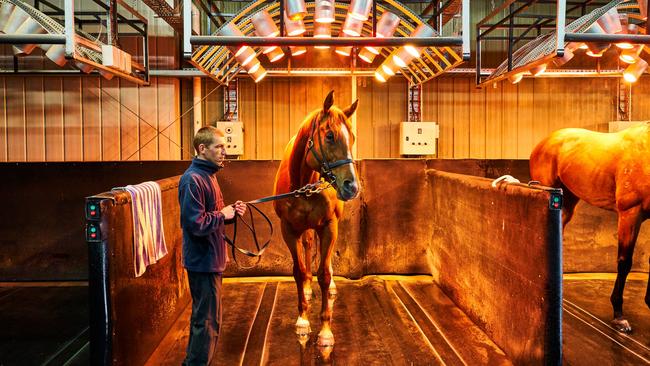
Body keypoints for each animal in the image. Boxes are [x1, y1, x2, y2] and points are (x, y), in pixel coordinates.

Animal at [270, 91, 356, 346]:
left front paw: (326, 330)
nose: (352, 186)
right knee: (308, 246)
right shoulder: (288, 230)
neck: (303, 183)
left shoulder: (328, 227)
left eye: (353, 138)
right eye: (330, 136)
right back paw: (308, 288)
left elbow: (324, 274)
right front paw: (302, 319)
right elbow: (299, 271)